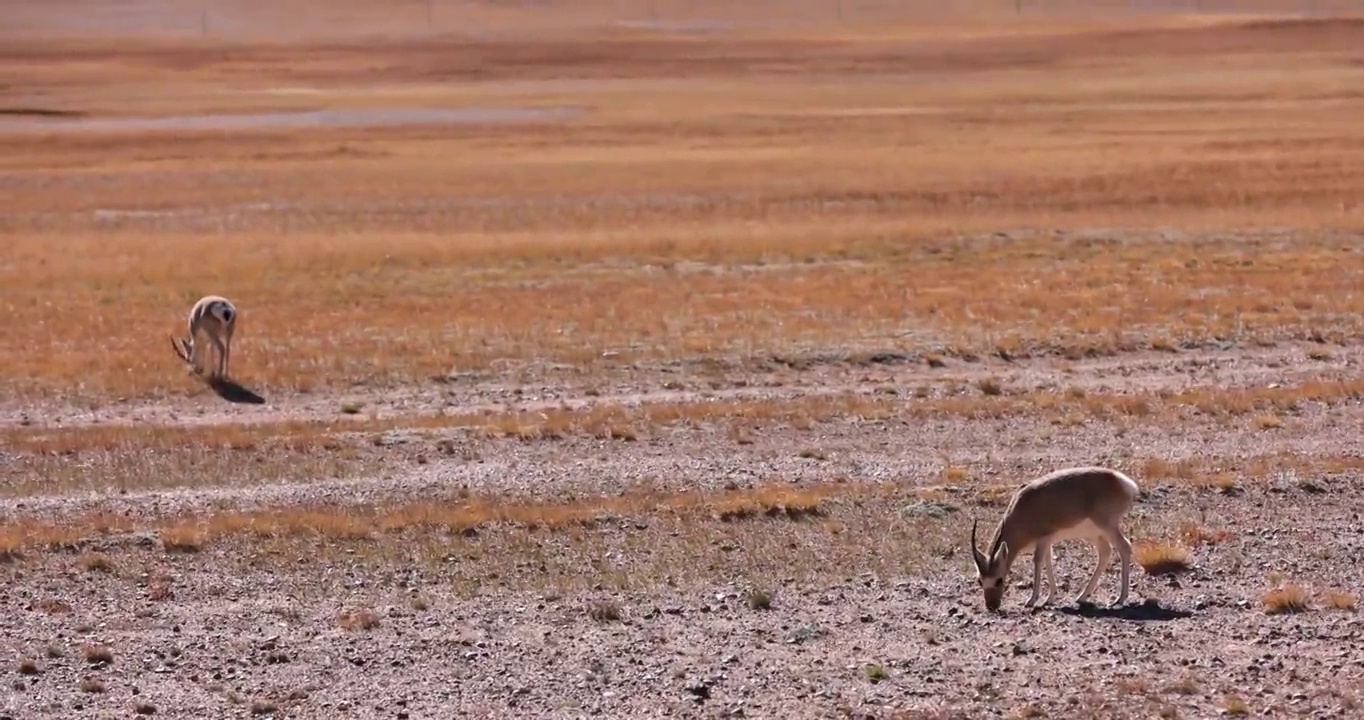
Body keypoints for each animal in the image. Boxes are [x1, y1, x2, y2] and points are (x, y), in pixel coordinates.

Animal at [965, 466, 1145, 613]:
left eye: (999, 580)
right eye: (980, 581)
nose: (991, 606)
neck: (1022, 507)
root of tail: (1122, 481)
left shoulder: (1044, 538)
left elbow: (1038, 562)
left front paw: (1032, 600)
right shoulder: (1047, 542)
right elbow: (1048, 562)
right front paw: (1049, 598)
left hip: (1107, 527)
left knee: (1124, 547)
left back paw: (1120, 599)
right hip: (1094, 534)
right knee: (1105, 552)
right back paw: (1082, 596)